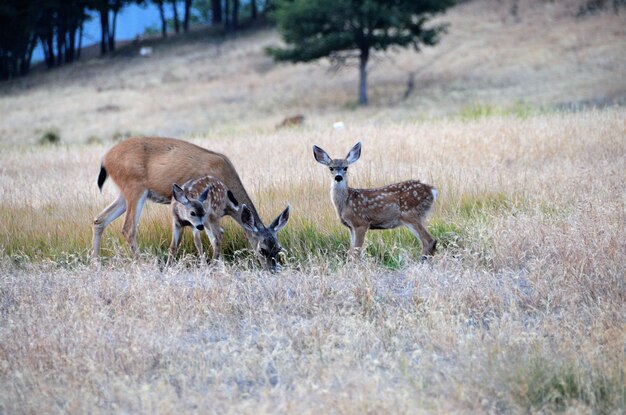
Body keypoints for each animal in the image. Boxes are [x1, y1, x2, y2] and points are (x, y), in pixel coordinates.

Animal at [91, 137, 290, 272]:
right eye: (262, 249)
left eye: (278, 248)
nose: (272, 270)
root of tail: (105, 160)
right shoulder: (208, 212)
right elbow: (212, 237)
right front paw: (212, 266)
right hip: (135, 189)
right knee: (128, 228)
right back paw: (145, 265)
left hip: (123, 194)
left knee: (99, 220)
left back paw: (95, 263)